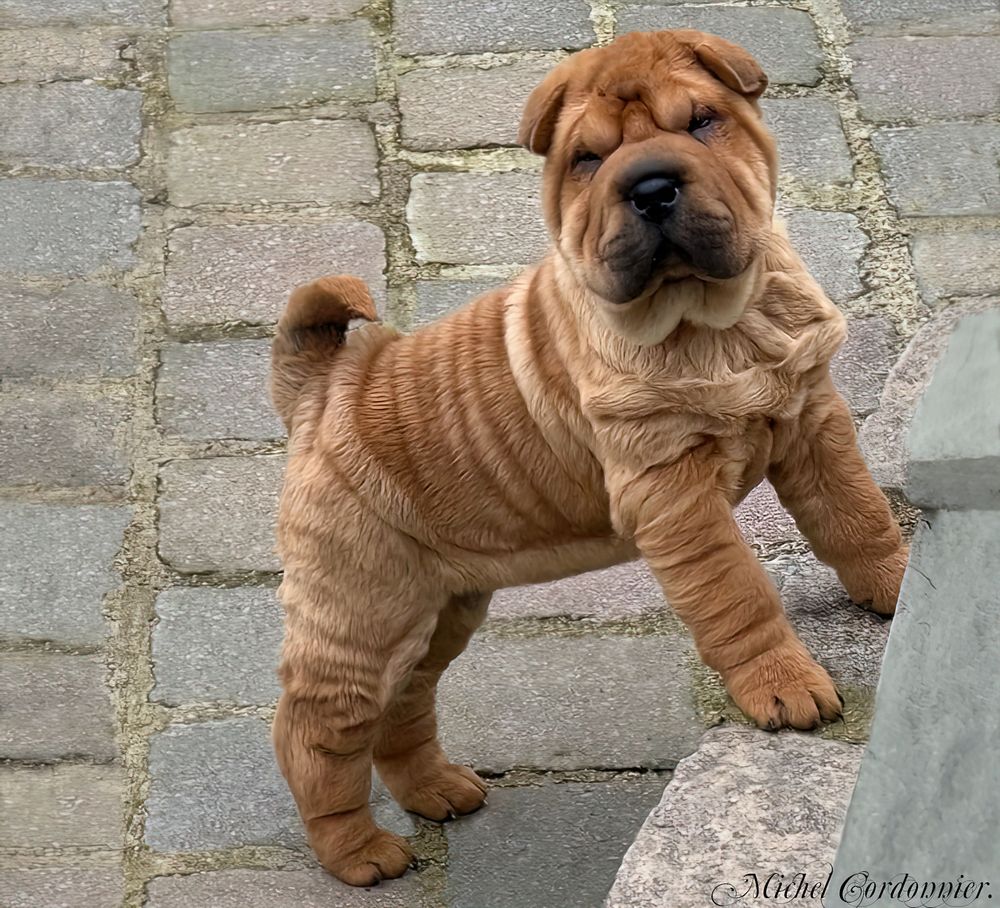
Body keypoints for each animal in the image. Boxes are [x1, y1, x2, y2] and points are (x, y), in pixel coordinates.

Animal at [270, 26, 912, 888]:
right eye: (587, 158)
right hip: (361, 613)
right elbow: (739, 594)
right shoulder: (672, 492)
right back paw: (360, 852)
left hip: (438, 610)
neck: (712, 323)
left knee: (402, 707)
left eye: (701, 121)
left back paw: (439, 790)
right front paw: (783, 685)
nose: (649, 185)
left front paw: (900, 584)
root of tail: (323, 387)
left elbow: (856, 514)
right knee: (314, 733)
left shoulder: (811, 415)